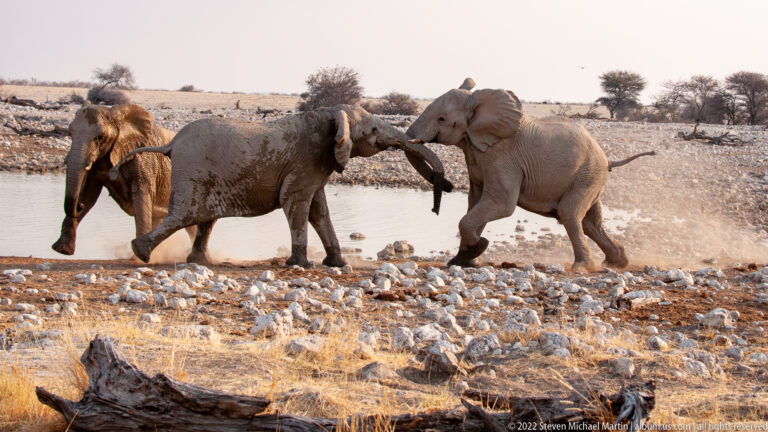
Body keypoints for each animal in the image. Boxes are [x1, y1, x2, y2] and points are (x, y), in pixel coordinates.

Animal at [52, 104, 196, 258]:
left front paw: (137, 259)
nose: (79, 206)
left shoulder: (143, 160)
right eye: (70, 133)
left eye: (100, 137)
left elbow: (141, 197)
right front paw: (62, 250)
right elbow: (89, 194)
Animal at [111, 104, 450, 267]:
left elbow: (319, 210)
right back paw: (141, 253)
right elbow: (297, 204)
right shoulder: (305, 162)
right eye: (374, 130)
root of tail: (171, 143)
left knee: (204, 218)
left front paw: (337, 265)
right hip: (193, 170)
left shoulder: (317, 164)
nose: (444, 191)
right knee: (185, 214)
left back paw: (198, 262)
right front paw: (301, 264)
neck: (329, 114)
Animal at [406, 79, 654, 271]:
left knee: (569, 214)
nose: (445, 187)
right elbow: (475, 202)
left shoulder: (503, 158)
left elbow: (500, 204)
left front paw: (479, 246)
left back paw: (582, 268)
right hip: (591, 177)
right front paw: (463, 260)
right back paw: (617, 262)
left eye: (442, 119)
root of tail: (606, 159)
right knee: (590, 222)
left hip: (588, 174)